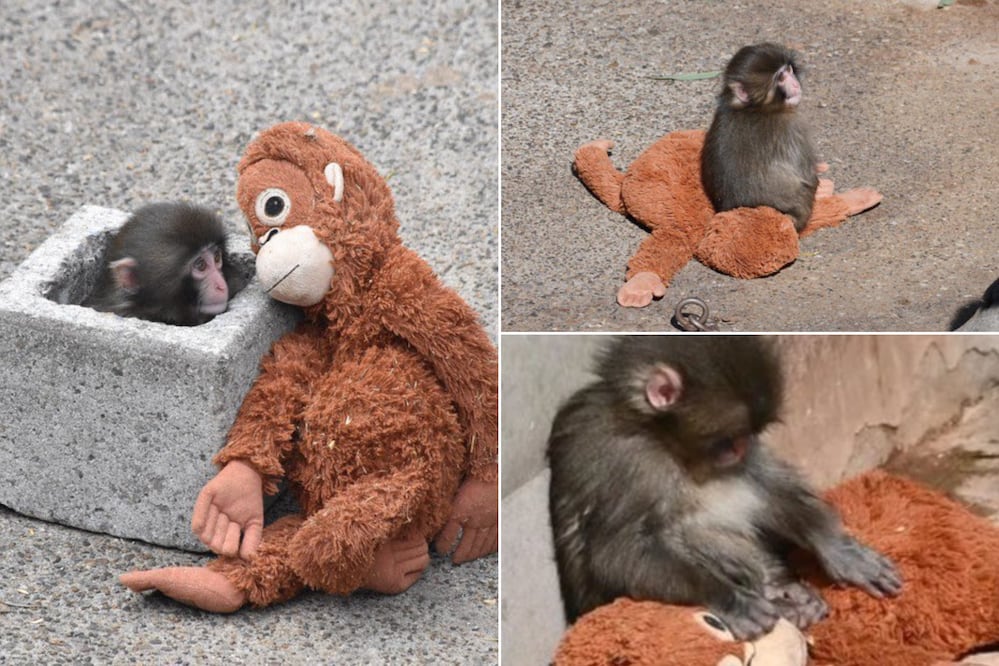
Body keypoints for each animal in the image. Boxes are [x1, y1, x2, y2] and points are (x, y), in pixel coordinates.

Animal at [546, 336, 902, 640]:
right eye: (728, 440)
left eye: (748, 436)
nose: (742, 448)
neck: (663, 439)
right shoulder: (621, 457)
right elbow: (616, 552)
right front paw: (730, 599)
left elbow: (763, 481)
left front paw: (837, 547)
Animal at [701, 43, 820, 232]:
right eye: (781, 78)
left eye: (789, 70)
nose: (795, 84)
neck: (754, 108)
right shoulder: (794, 127)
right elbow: (808, 176)